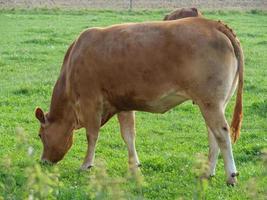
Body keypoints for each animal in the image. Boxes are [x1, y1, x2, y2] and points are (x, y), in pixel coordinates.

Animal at [35, 18, 245, 185]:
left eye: (40, 135)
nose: (43, 161)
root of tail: (211, 23)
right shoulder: (123, 104)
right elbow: (128, 135)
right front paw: (134, 166)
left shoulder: (90, 101)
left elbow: (92, 135)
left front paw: (86, 164)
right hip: (213, 103)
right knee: (213, 135)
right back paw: (208, 172)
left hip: (210, 102)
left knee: (222, 133)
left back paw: (231, 176)